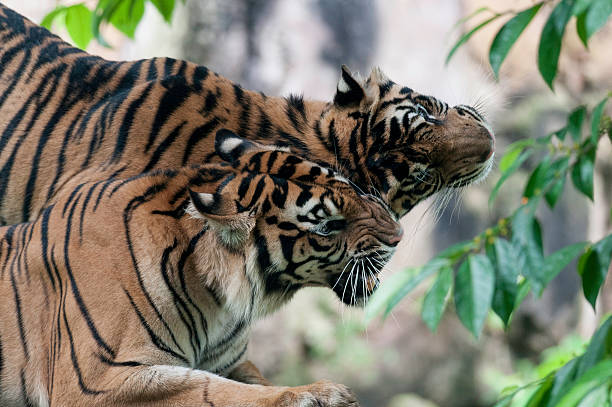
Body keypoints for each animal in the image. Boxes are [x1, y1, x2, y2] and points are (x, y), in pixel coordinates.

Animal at [0, 130, 402, 407]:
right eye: (327, 226)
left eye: (354, 189)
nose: (398, 237)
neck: (215, 300)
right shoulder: (98, 382)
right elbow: (213, 390)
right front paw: (318, 394)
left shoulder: (232, 362)